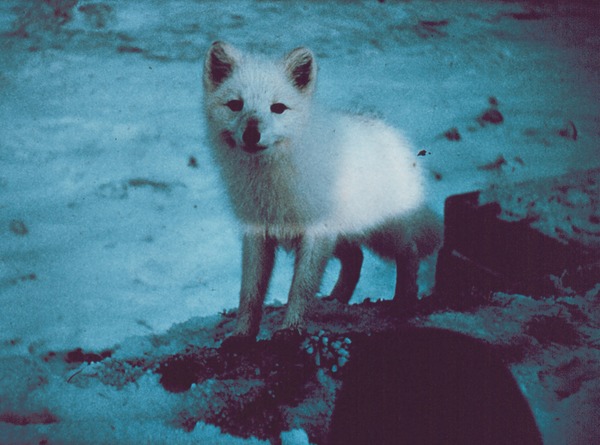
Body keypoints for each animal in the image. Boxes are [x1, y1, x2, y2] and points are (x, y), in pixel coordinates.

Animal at [202, 41, 440, 340]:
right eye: (235, 105)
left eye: (278, 108)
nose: (251, 135)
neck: (271, 179)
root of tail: (393, 134)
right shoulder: (256, 232)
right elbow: (250, 292)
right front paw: (242, 334)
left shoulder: (316, 232)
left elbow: (300, 287)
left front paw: (291, 330)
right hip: (341, 238)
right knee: (356, 258)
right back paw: (337, 299)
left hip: (383, 232)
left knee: (409, 252)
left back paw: (404, 302)